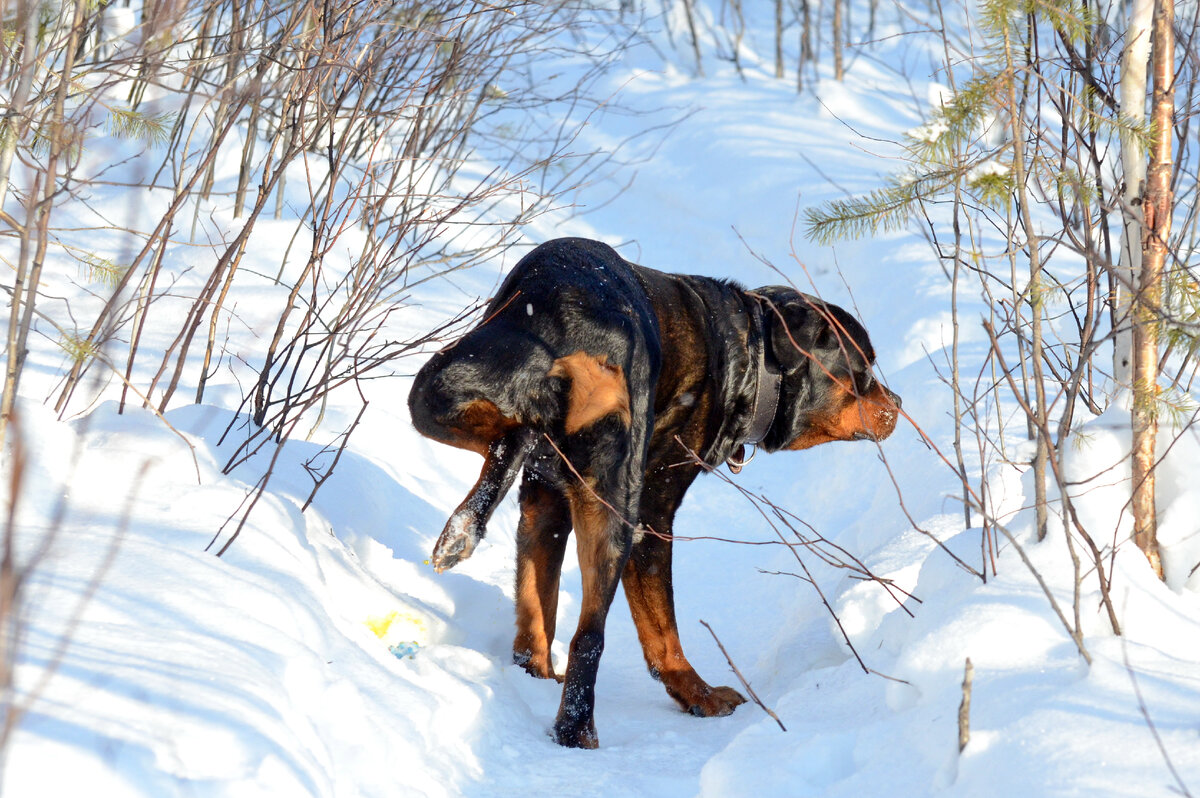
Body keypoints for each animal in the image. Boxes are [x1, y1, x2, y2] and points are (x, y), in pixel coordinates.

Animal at [408, 236, 897, 748]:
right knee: (591, 635)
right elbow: (663, 630)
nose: (898, 404)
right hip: (615, 493)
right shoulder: (654, 514)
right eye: (864, 370)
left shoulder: (546, 502)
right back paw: (576, 729)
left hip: (450, 379)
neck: (752, 363)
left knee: (500, 433)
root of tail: (576, 324)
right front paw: (699, 694)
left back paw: (467, 525)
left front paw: (535, 676)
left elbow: (536, 604)